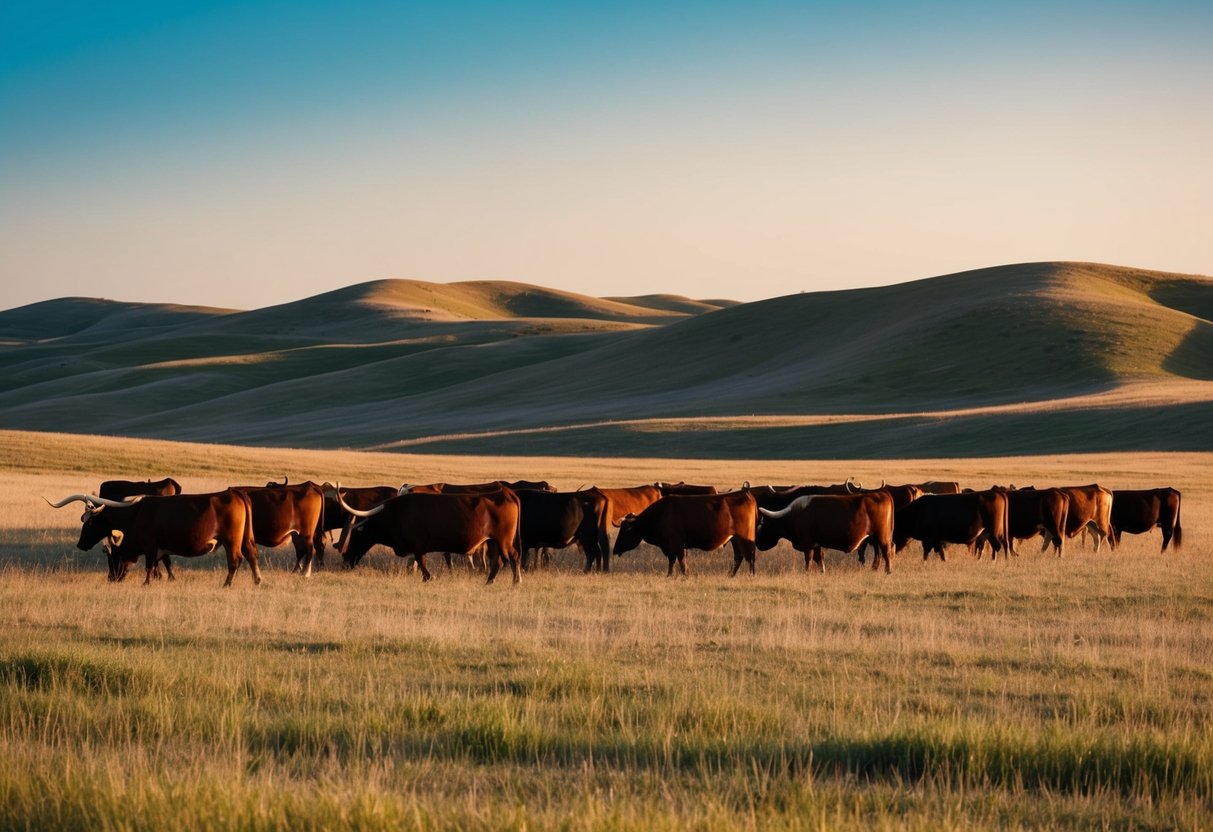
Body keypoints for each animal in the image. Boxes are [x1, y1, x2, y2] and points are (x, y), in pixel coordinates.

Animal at [46, 492, 258, 589]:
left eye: (89, 523)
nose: (80, 544)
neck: (135, 515)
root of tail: (235, 493)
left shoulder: (150, 546)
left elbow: (149, 565)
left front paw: (146, 583)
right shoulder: (161, 549)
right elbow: (164, 564)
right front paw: (167, 579)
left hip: (231, 541)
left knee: (235, 560)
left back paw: (227, 584)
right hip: (245, 539)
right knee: (251, 556)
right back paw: (257, 581)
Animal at [337, 485, 521, 584]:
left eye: (355, 535)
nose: (345, 562)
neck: (398, 513)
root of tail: (506, 493)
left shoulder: (418, 545)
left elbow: (421, 561)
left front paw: (428, 577)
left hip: (503, 541)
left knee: (513, 557)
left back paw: (515, 581)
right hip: (493, 542)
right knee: (498, 561)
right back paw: (489, 581)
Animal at [616, 492, 756, 577]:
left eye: (627, 530)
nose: (615, 549)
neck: (662, 514)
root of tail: (746, 494)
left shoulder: (676, 544)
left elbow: (679, 560)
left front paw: (683, 575)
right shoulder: (676, 546)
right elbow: (675, 560)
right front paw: (671, 575)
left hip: (745, 538)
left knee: (750, 556)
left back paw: (751, 575)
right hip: (735, 539)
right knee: (739, 556)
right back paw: (730, 575)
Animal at [752, 494, 897, 572]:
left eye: (762, 524)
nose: (757, 544)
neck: (795, 514)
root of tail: (881, 494)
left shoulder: (808, 544)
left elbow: (809, 559)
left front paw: (807, 572)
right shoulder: (817, 544)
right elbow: (819, 558)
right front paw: (822, 572)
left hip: (881, 537)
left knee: (887, 551)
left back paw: (888, 571)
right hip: (876, 537)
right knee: (882, 552)